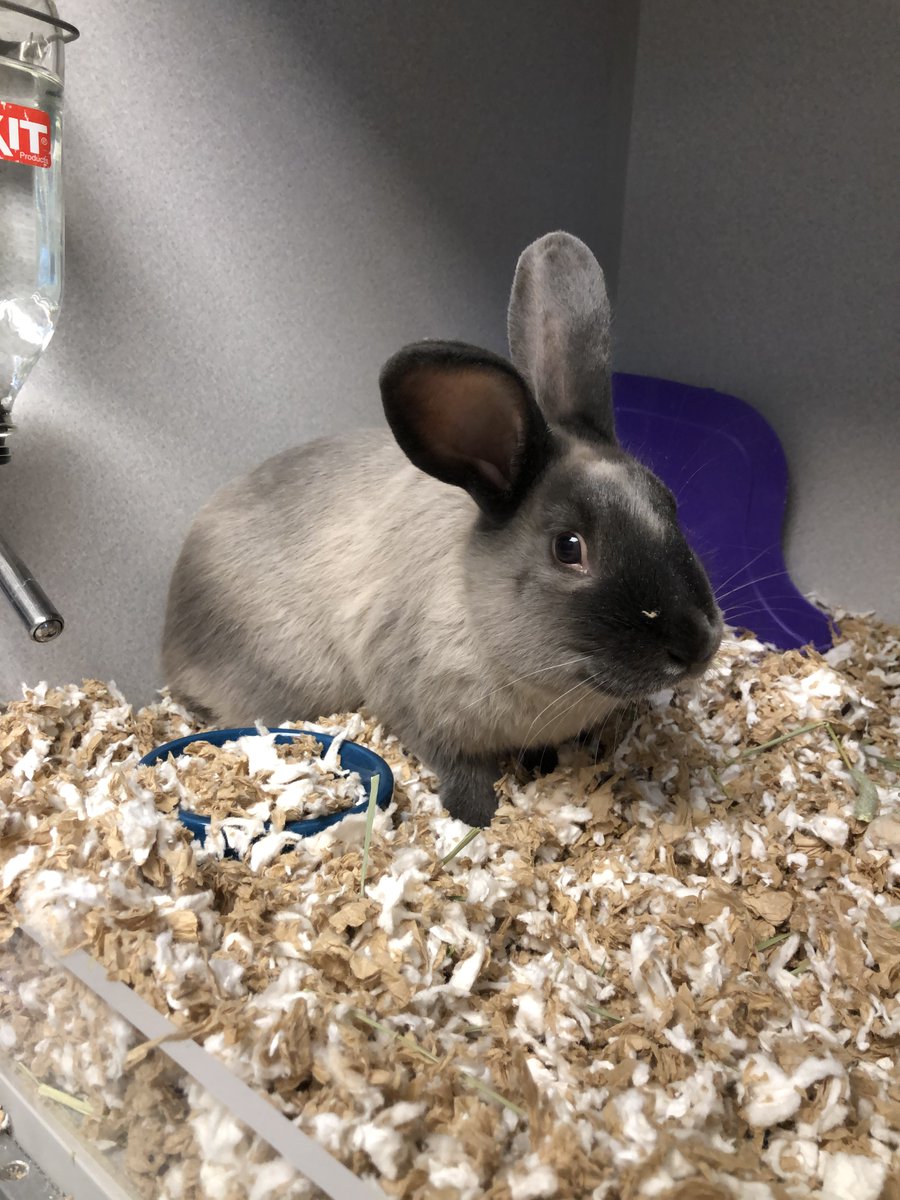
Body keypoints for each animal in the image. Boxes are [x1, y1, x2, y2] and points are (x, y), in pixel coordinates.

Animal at [162, 232, 723, 827]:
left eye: (669, 503)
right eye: (568, 547)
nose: (699, 644)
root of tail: (169, 636)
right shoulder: (416, 711)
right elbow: (462, 773)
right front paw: (480, 817)